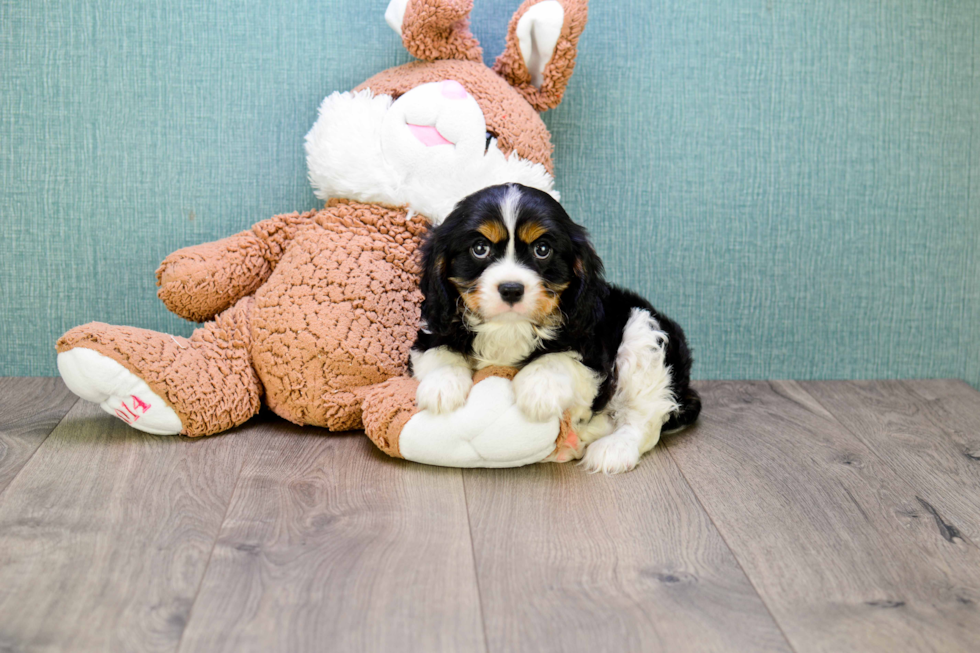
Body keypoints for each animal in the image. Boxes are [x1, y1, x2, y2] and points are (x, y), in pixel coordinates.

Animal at [410, 183, 700, 474]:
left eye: (542, 249)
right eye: (480, 248)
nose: (511, 289)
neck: (508, 327)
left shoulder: (591, 349)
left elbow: (558, 357)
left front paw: (539, 390)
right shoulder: (431, 330)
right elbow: (439, 351)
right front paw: (441, 387)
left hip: (643, 334)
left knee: (645, 417)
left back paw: (612, 448)